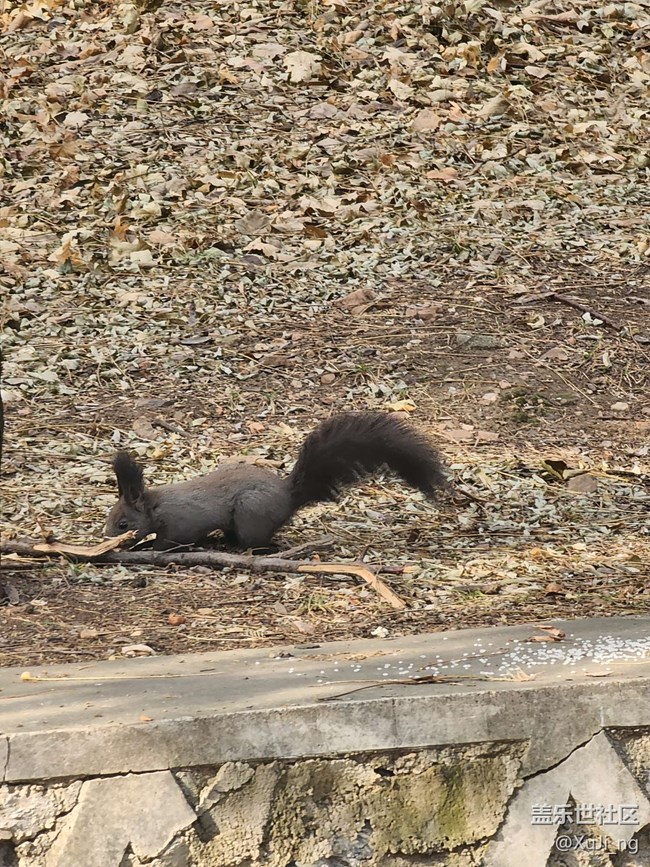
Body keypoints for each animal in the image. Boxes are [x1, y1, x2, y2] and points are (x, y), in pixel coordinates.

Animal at [104, 411, 446, 550]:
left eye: (122, 524)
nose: (105, 538)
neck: (156, 506)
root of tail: (288, 495)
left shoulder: (180, 523)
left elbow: (170, 541)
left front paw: (145, 547)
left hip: (251, 511)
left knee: (257, 541)